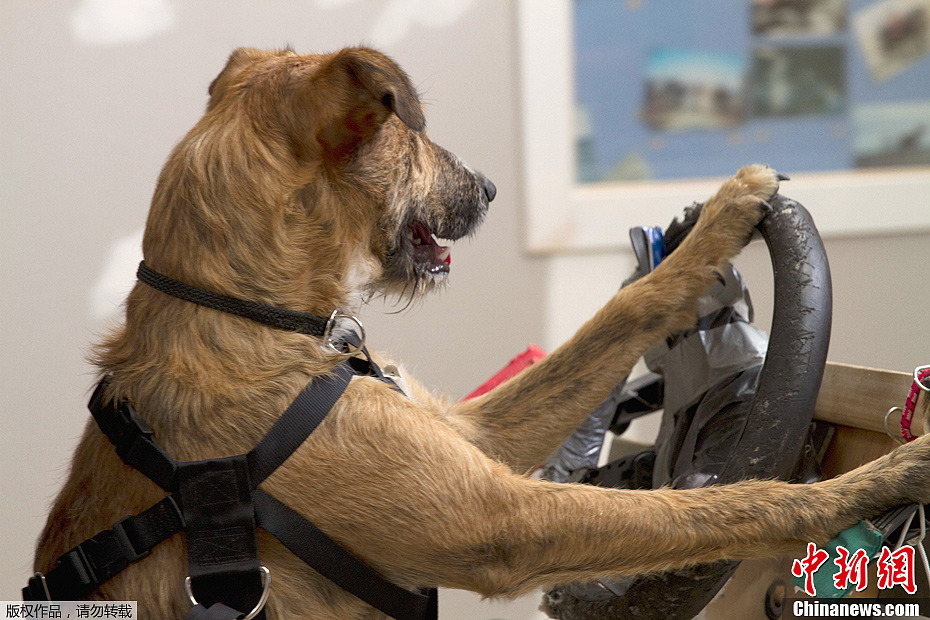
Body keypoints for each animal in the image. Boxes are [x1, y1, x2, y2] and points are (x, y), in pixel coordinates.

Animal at [34, 46, 930, 616]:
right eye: (412, 130)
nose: (493, 189)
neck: (242, 314)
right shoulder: (508, 523)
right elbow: (722, 504)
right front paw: (871, 483)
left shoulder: (475, 436)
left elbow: (610, 324)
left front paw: (707, 234)